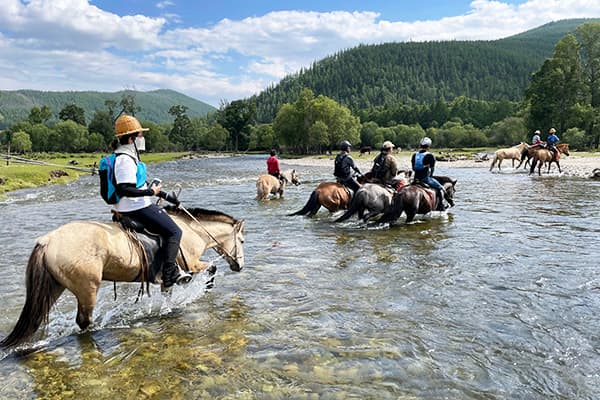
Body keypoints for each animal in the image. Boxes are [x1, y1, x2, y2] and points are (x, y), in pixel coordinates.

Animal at [0, 206, 245, 346]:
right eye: (241, 240)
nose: (239, 266)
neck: (192, 232)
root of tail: (47, 240)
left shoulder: (168, 277)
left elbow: (167, 293)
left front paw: (168, 308)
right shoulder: (192, 264)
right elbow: (210, 270)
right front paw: (204, 289)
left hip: (54, 287)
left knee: (38, 316)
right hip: (87, 288)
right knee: (84, 321)